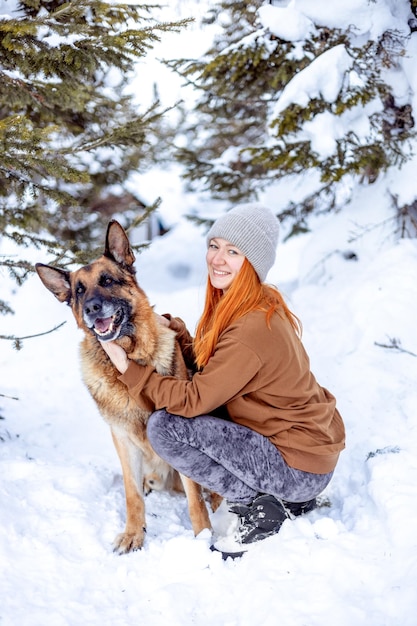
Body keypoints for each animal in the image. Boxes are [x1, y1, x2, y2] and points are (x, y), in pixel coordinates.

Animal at [35, 219, 218, 552]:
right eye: (79, 292)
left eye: (107, 281)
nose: (92, 308)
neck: (130, 356)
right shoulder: (122, 439)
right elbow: (131, 494)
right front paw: (134, 534)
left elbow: (194, 499)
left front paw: (202, 538)